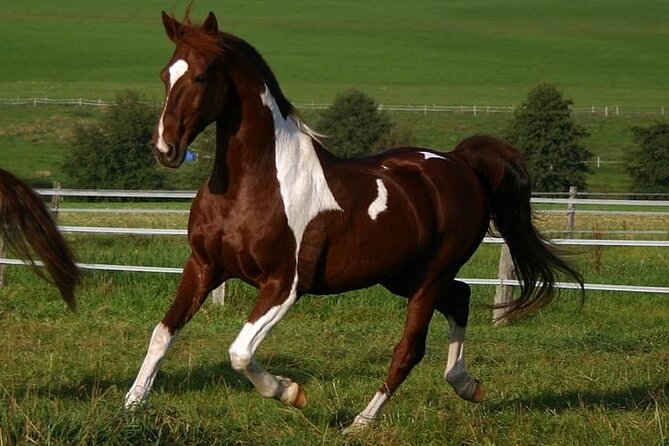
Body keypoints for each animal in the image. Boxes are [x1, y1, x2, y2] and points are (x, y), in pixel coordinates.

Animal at [125, 10, 584, 430]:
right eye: (165, 75)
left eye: (202, 77)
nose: (164, 149)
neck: (252, 184)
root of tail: (461, 163)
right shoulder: (204, 266)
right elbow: (162, 334)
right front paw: (132, 406)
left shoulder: (283, 285)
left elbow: (240, 353)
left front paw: (291, 392)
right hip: (402, 275)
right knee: (461, 297)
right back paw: (467, 385)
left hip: (430, 277)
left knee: (410, 348)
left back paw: (361, 422)